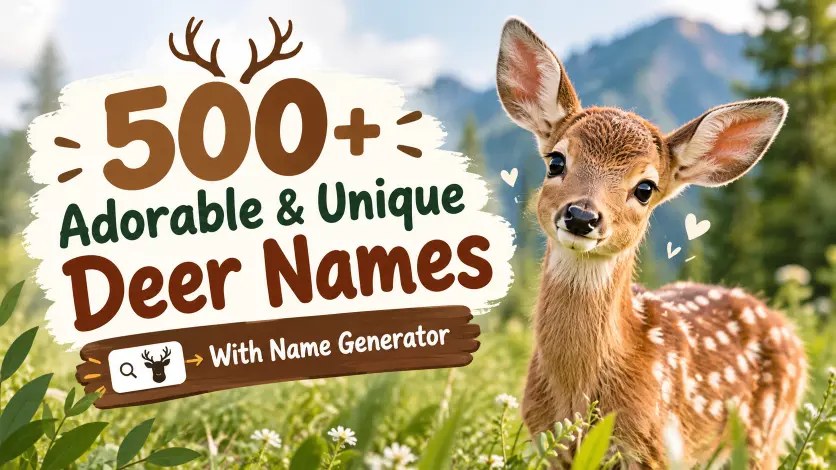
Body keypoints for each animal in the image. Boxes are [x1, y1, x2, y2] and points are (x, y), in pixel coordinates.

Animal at [495, 18, 807, 469]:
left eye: (645, 188)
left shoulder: (655, 446)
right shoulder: (544, 438)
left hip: (762, 435)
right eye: (556, 161)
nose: (582, 216)